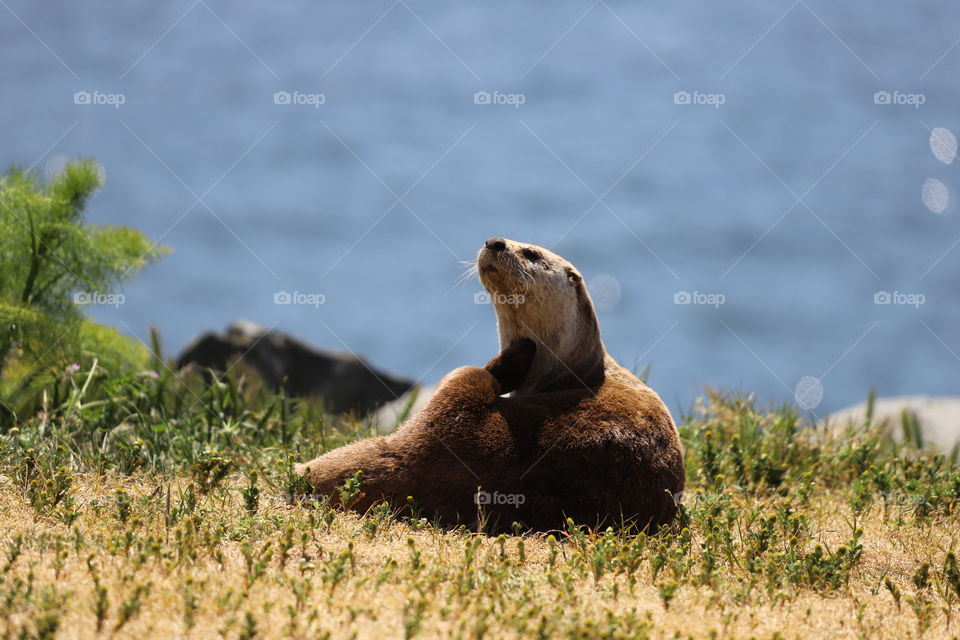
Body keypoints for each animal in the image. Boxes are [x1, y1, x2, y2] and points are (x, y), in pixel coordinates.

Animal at [297, 238, 685, 532]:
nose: (495, 242)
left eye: (531, 253)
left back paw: (519, 355)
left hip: (455, 394)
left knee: (475, 376)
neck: (580, 369)